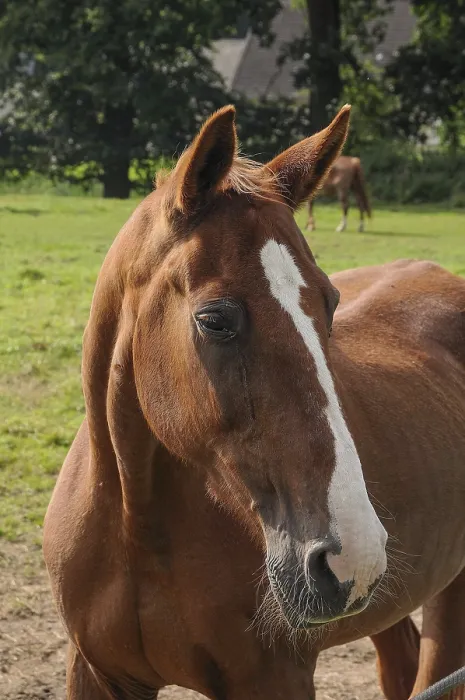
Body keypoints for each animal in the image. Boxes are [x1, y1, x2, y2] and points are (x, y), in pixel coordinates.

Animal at [43, 104, 465, 700]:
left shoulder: (272, 679)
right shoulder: (95, 672)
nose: (351, 555)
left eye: (330, 303)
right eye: (215, 319)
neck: (135, 527)